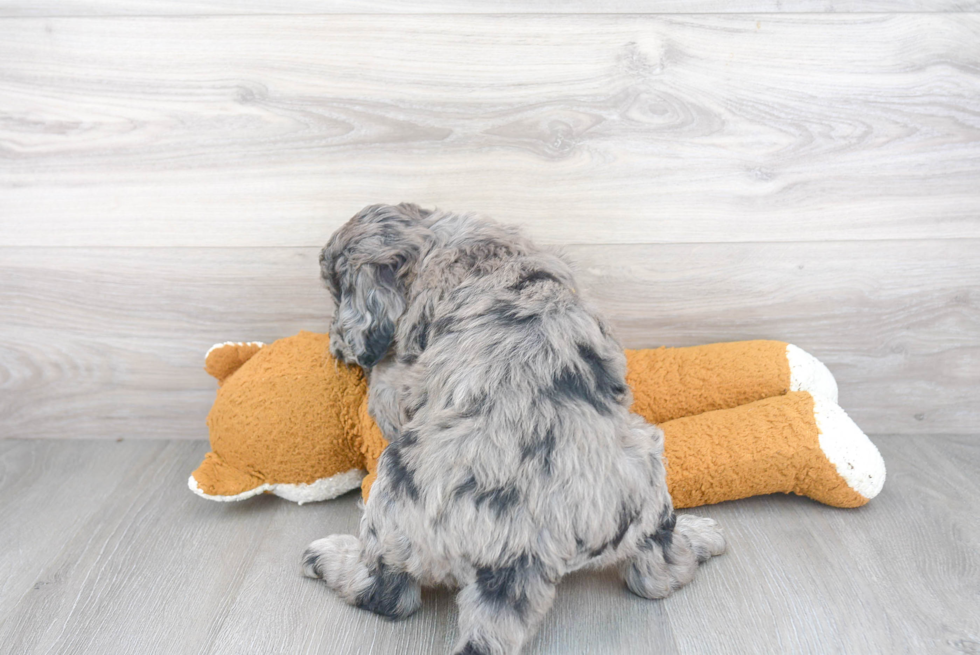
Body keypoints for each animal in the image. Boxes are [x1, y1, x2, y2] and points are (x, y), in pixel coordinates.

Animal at [302, 205, 724, 655]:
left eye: (336, 292)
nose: (335, 344)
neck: (435, 238)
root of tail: (516, 552)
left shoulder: (399, 383)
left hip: (391, 500)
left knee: (387, 593)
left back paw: (328, 559)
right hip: (646, 466)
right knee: (656, 572)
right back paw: (699, 536)